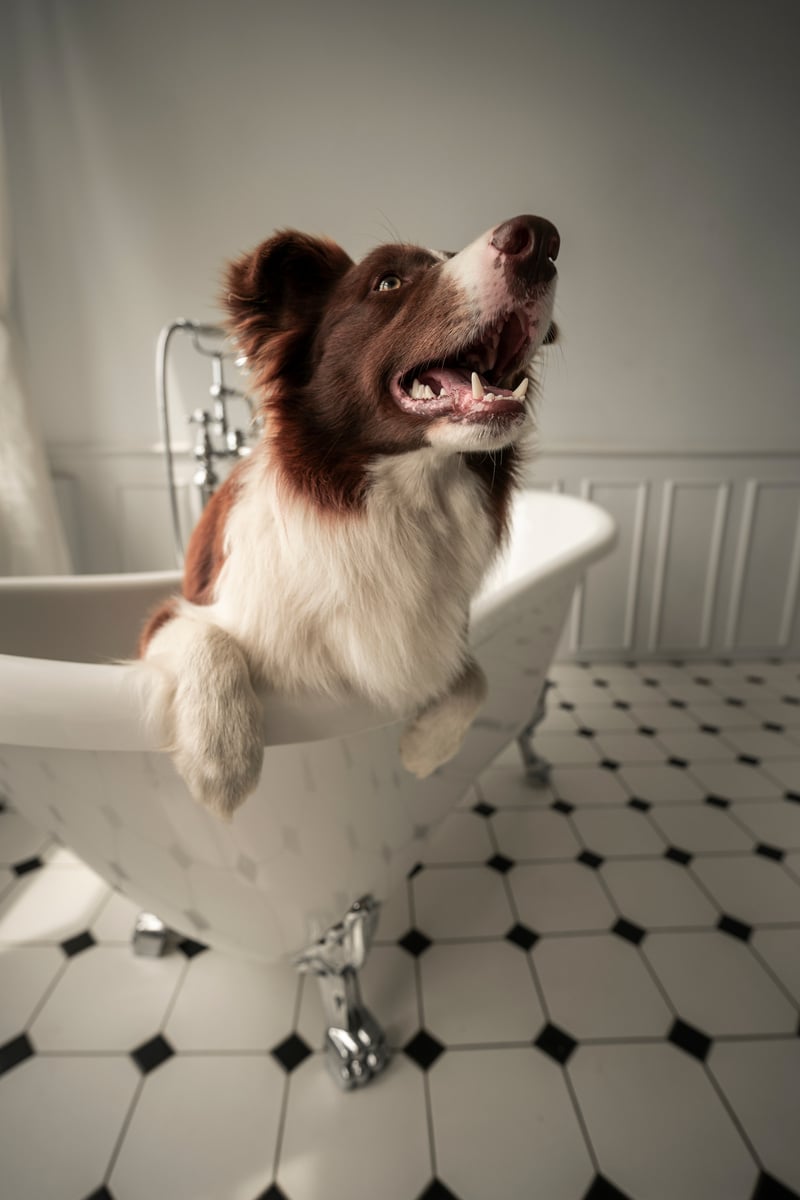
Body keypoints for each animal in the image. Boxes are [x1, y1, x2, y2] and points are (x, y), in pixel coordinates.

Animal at [137, 213, 561, 816]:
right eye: (388, 282)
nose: (540, 238)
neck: (399, 503)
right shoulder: (173, 616)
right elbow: (207, 637)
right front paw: (221, 760)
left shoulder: (439, 635)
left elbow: (473, 675)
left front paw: (425, 750)